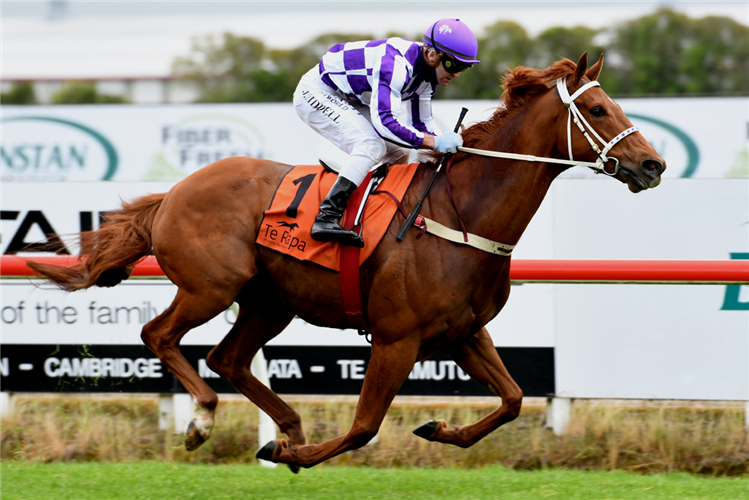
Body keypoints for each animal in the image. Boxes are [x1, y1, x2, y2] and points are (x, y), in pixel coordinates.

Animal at [29, 52, 664, 470]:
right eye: (599, 110)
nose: (653, 165)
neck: (463, 214)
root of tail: (175, 192)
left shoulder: (464, 332)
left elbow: (512, 400)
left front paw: (438, 426)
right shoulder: (396, 338)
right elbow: (363, 427)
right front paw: (297, 454)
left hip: (270, 302)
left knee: (226, 357)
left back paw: (285, 425)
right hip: (211, 286)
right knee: (158, 335)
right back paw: (205, 419)